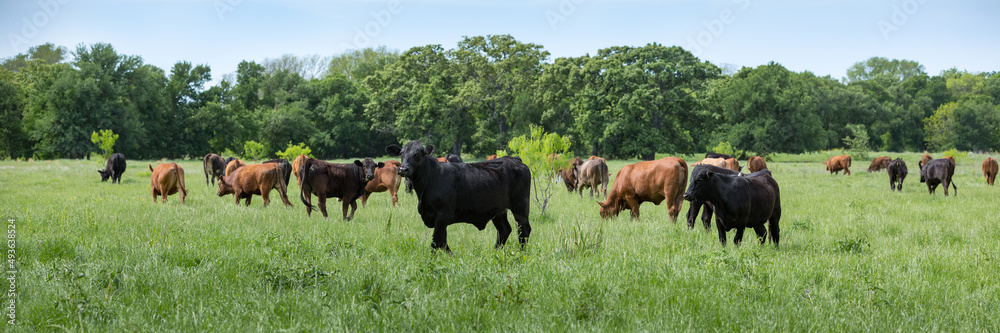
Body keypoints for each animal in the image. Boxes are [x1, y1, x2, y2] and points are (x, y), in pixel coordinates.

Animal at [386, 140, 536, 252]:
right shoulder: (438, 218)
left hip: (520, 206)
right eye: (401, 153)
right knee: (504, 230)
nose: (403, 169)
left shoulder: (443, 214)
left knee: (524, 229)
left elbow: (436, 241)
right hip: (498, 210)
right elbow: (443, 242)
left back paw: (521, 253)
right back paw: (495, 252)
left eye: (417, 154)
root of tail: (514, 159)